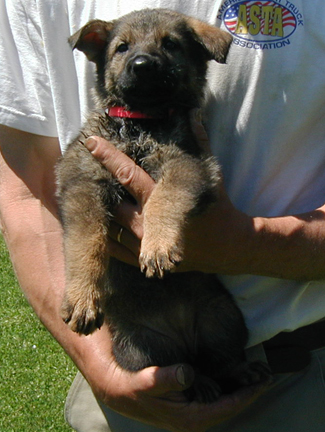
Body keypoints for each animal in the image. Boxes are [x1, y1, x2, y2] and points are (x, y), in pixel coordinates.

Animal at [57, 8, 270, 404]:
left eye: (170, 44)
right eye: (122, 47)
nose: (143, 65)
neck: (140, 125)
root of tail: (182, 335)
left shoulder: (187, 165)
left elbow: (163, 198)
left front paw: (156, 246)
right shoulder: (83, 183)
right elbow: (85, 242)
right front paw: (82, 296)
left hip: (222, 317)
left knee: (217, 362)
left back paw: (239, 371)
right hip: (143, 347)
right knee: (183, 371)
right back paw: (198, 383)